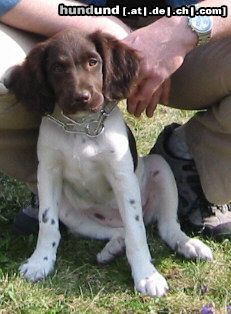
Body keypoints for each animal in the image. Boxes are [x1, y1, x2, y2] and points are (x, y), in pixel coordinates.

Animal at [7, 28, 213, 296]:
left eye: (93, 62)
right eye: (57, 68)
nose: (81, 97)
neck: (82, 128)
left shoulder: (122, 177)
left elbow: (137, 232)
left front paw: (146, 275)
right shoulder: (48, 174)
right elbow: (47, 223)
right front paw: (40, 261)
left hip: (161, 168)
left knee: (165, 227)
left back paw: (189, 245)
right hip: (70, 211)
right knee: (118, 231)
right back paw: (112, 248)